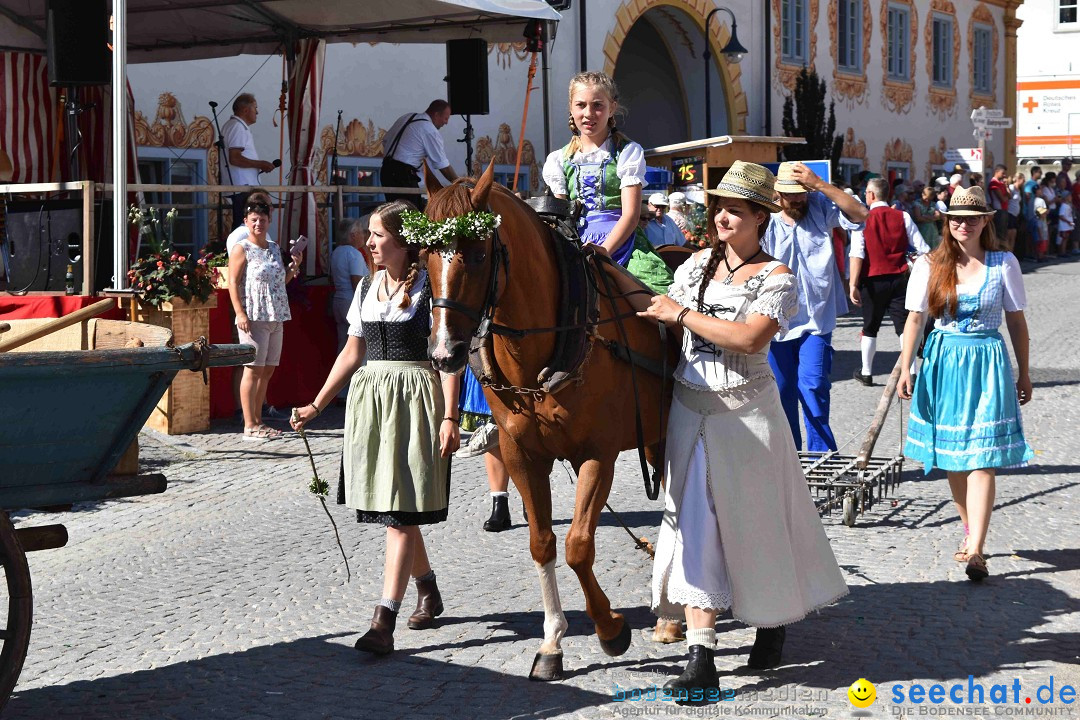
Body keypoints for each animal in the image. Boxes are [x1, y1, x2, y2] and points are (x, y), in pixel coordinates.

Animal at [423, 162, 673, 682]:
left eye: (479, 253)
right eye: (424, 254)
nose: (443, 353)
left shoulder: (597, 454)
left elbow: (578, 545)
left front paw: (610, 628)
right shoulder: (522, 454)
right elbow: (542, 543)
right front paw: (553, 641)